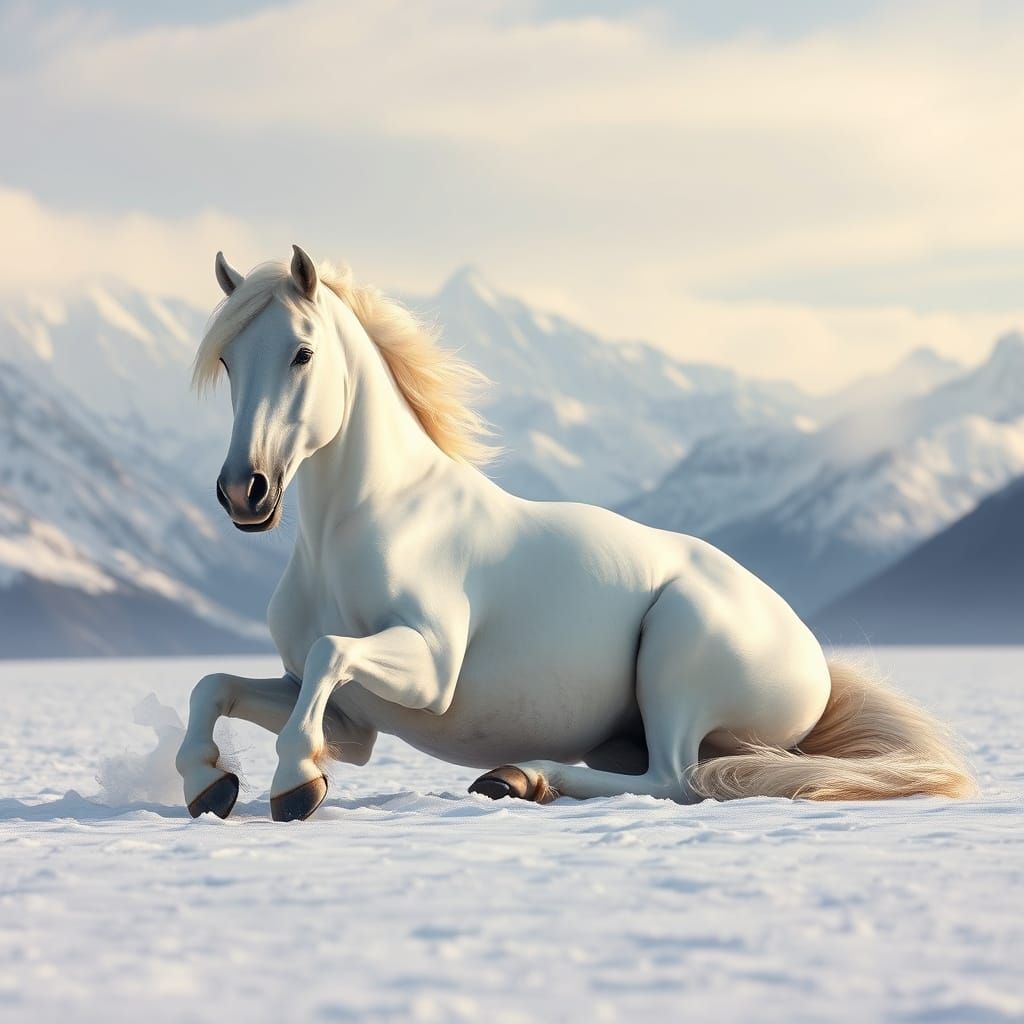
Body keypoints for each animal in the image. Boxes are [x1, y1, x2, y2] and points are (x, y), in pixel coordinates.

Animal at [175, 246, 975, 821]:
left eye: (302, 352)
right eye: (227, 360)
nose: (244, 491)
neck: (366, 522)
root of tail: (815, 661)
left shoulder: (429, 668)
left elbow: (328, 651)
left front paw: (293, 784)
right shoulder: (353, 723)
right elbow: (216, 685)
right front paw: (206, 784)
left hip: (677, 660)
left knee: (676, 778)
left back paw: (520, 777)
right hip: (637, 729)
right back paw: (517, 780)